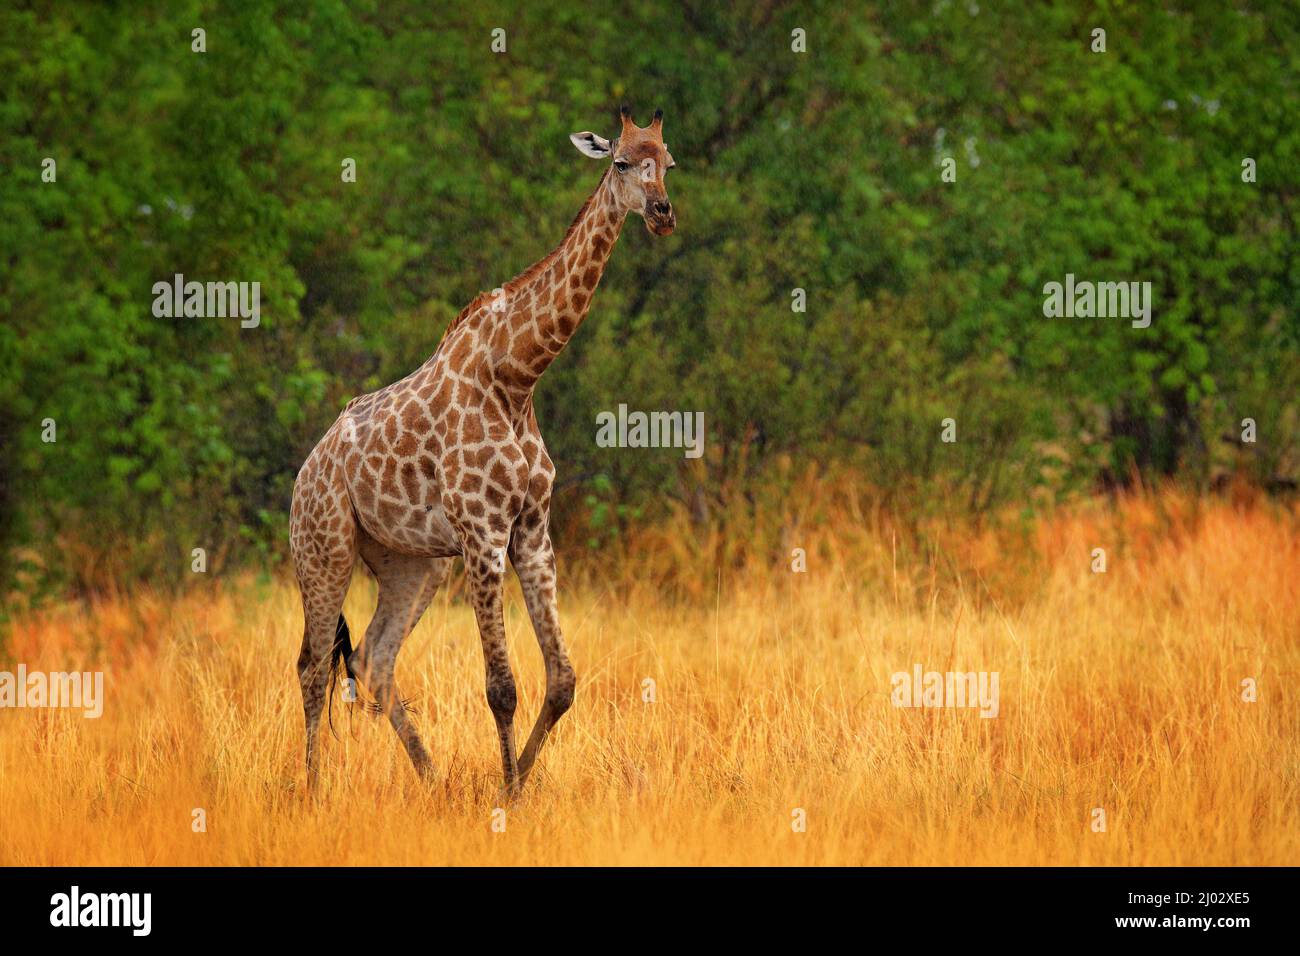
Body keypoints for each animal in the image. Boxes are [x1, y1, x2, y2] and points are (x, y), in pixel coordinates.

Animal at [289, 106, 676, 794]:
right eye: (621, 162)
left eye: (670, 161)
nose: (661, 212)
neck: (517, 376)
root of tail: (304, 474)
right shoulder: (483, 531)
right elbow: (501, 687)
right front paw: (508, 790)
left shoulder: (532, 529)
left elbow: (563, 681)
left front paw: (517, 782)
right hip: (324, 550)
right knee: (312, 665)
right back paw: (311, 791)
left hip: (411, 563)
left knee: (371, 659)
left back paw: (431, 779)